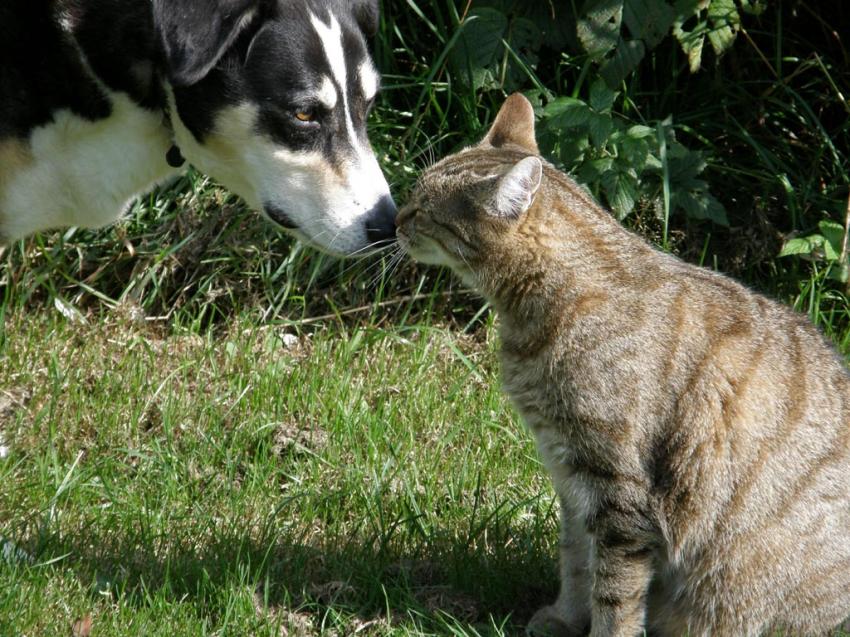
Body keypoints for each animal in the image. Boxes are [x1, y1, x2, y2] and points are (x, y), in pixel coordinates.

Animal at [396, 95, 848, 636]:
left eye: (422, 208)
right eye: (413, 195)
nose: (394, 218)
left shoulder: (618, 489)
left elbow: (614, 588)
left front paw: (602, 628)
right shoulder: (570, 474)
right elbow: (575, 559)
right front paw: (565, 617)